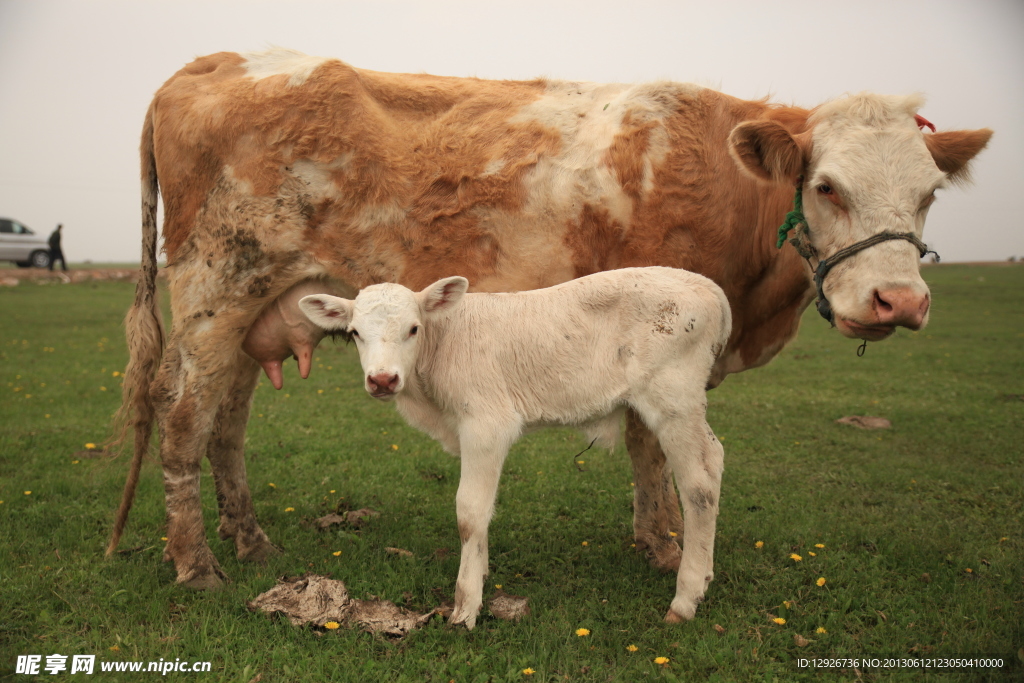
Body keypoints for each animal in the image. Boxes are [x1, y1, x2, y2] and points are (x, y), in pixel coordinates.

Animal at [105, 48, 991, 593]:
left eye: (928, 194)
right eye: (828, 185)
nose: (898, 303)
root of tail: (212, 62)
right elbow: (649, 447)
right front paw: (665, 545)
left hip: (256, 315)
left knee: (226, 429)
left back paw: (251, 542)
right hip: (216, 297)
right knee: (182, 424)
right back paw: (197, 564)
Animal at [296, 268, 737, 630]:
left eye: (413, 329)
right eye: (355, 332)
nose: (383, 379)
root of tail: (706, 286)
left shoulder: (486, 425)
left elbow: (470, 512)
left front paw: (466, 607)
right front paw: (481, 573)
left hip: (673, 399)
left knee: (699, 482)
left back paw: (685, 599)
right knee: (714, 457)